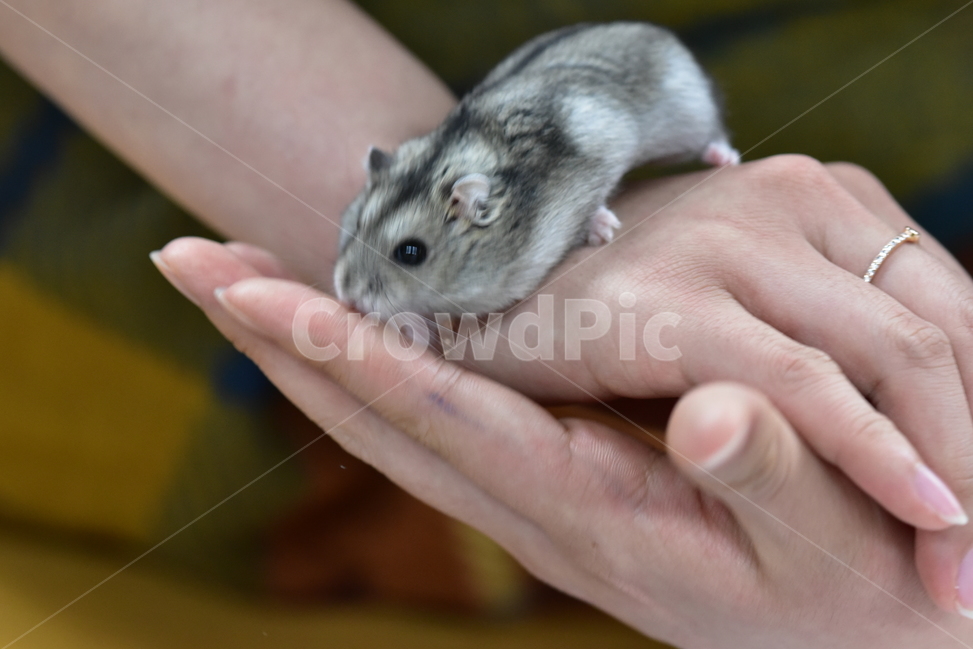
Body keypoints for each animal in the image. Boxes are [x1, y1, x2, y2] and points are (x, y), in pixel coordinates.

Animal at [334, 22, 739, 319]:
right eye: (356, 225)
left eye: (411, 253)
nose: (347, 297)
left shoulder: (607, 144)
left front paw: (604, 229)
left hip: (692, 114)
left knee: (714, 135)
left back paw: (727, 160)